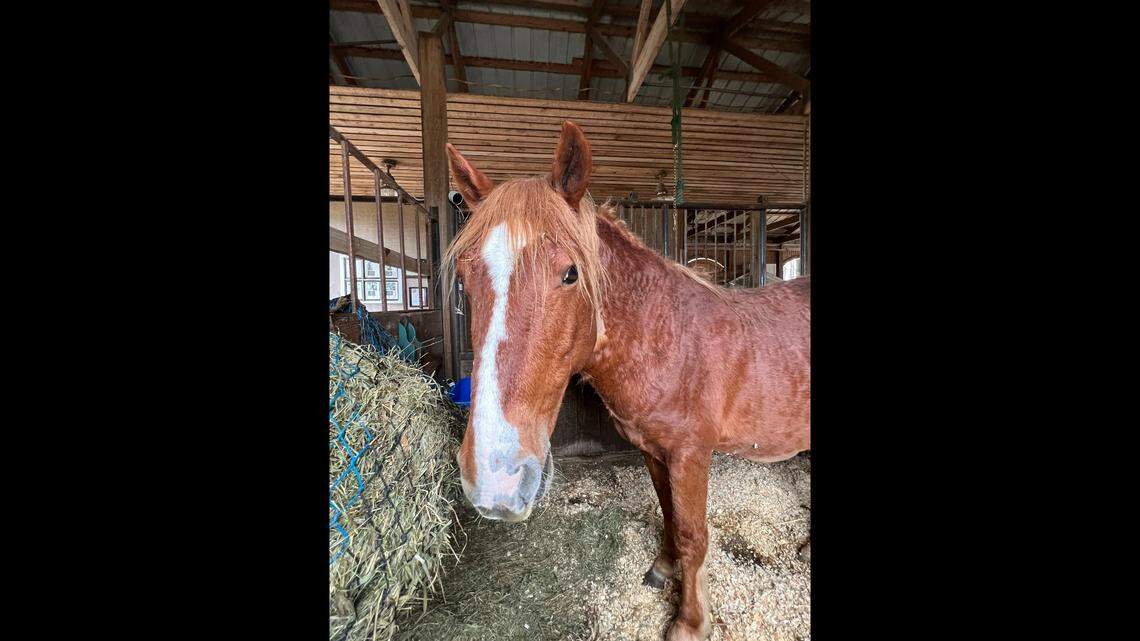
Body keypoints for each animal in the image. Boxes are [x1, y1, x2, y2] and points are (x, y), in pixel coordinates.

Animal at [444, 121, 810, 641]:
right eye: (465, 277)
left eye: (570, 274)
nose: (496, 480)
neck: (667, 337)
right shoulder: (653, 450)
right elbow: (669, 514)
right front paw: (663, 569)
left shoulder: (691, 454)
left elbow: (693, 533)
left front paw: (689, 622)